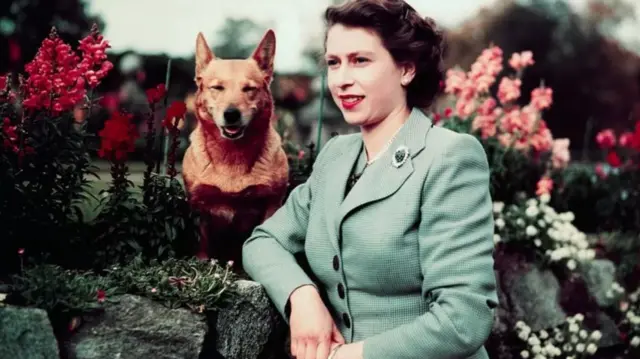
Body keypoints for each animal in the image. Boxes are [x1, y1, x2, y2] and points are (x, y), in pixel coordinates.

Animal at [181, 29, 288, 268]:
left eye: (249, 89)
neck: (232, 156)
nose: (231, 114)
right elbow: (202, 246)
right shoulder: (199, 206)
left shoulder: (271, 203)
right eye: (217, 88)